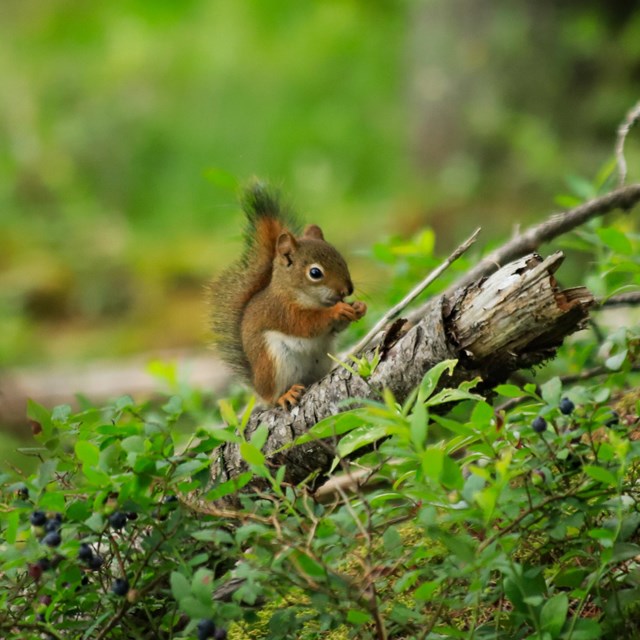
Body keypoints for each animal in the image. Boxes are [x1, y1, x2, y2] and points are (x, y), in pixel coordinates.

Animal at [210, 183, 367, 409]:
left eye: (341, 259)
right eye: (315, 273)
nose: (347, 290)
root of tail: (257, 386)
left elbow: (336, 328)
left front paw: (359, 307)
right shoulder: (282, 311)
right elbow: (307, 324)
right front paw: (337, 310)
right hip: (273, 364)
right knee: (272, 397)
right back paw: (285, 395)